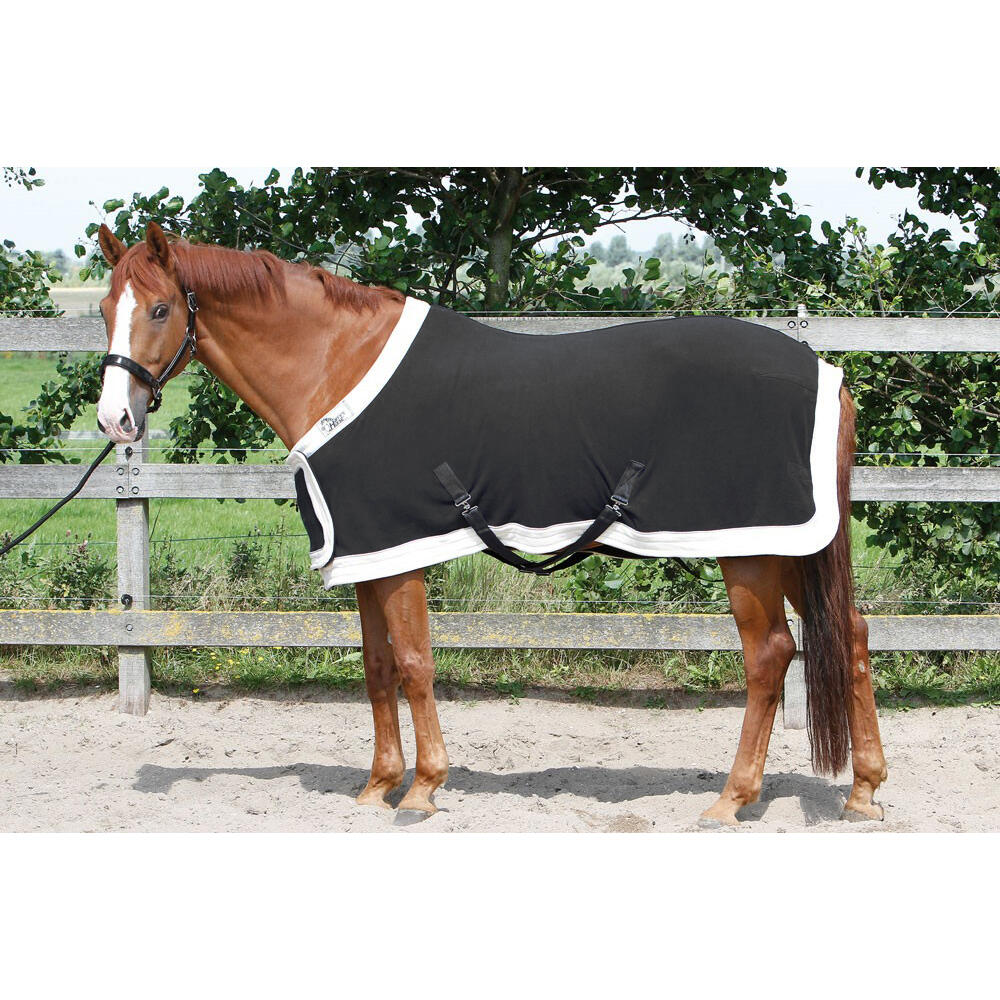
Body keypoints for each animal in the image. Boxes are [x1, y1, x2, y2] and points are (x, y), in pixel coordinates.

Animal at [94, 221, 887, 827]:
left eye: (160, 309)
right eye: (105, 308)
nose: (115, 421)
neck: (337, 364)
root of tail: (826, 373)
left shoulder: (400, 553)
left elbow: (415, 664)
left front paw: (423, 790)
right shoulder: (370, 556)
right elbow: (377, 668)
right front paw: (378, 785)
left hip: (750, 551)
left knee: (769, 656)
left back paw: (732, 799)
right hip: (791, 546)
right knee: (849, 634)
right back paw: (864, 792)